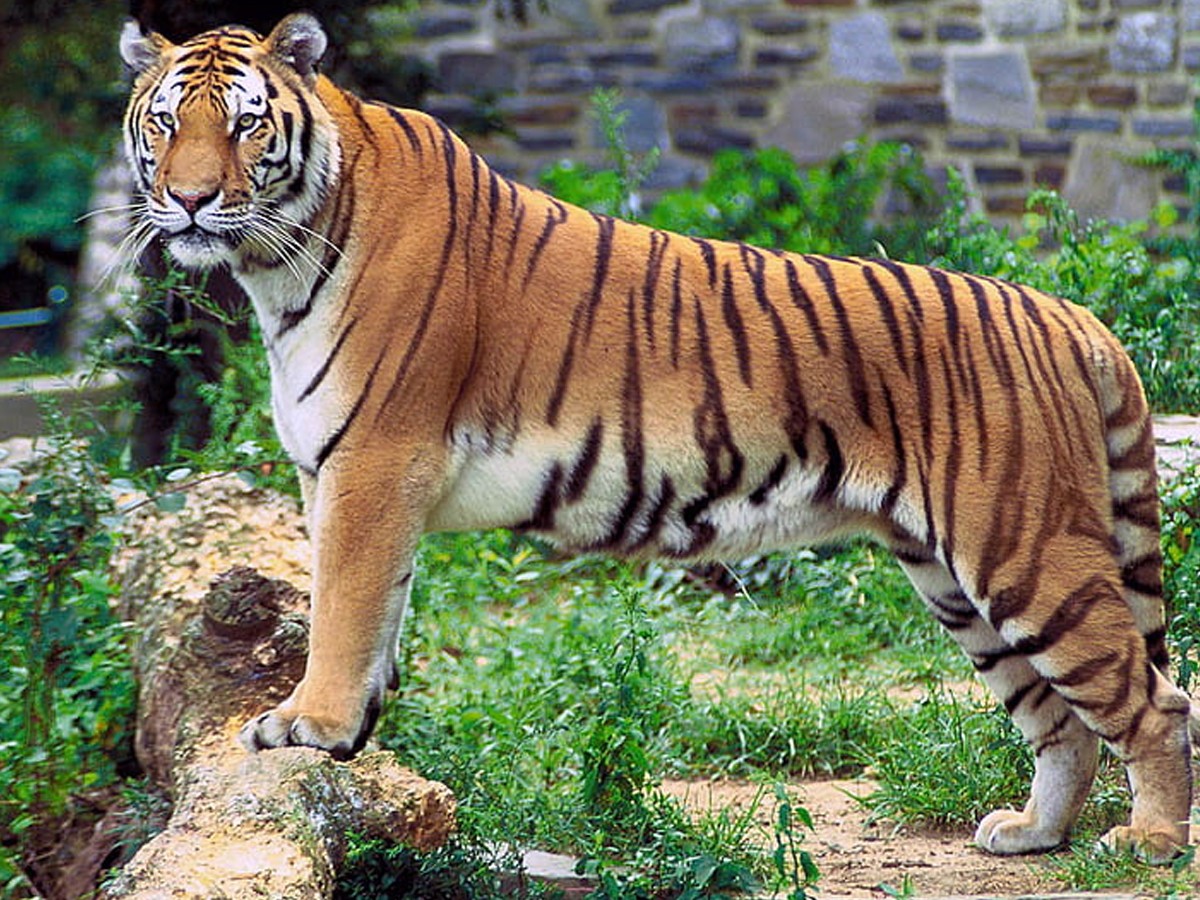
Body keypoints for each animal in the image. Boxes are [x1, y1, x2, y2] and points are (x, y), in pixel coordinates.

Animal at [119, 13, 1193, 863]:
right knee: (1060, 720)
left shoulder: (374, 463)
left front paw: (309, 724)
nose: (191, 199)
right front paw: (351, 741)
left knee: (1155, 702)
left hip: (1024, 548)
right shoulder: (342, 475)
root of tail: (1071, 315)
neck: (278, 265)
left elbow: (341, 608)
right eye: (166, 122)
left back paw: (1145, 841)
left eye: (246, 122)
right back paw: (1034, 833)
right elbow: (376, 611)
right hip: (952, 575)